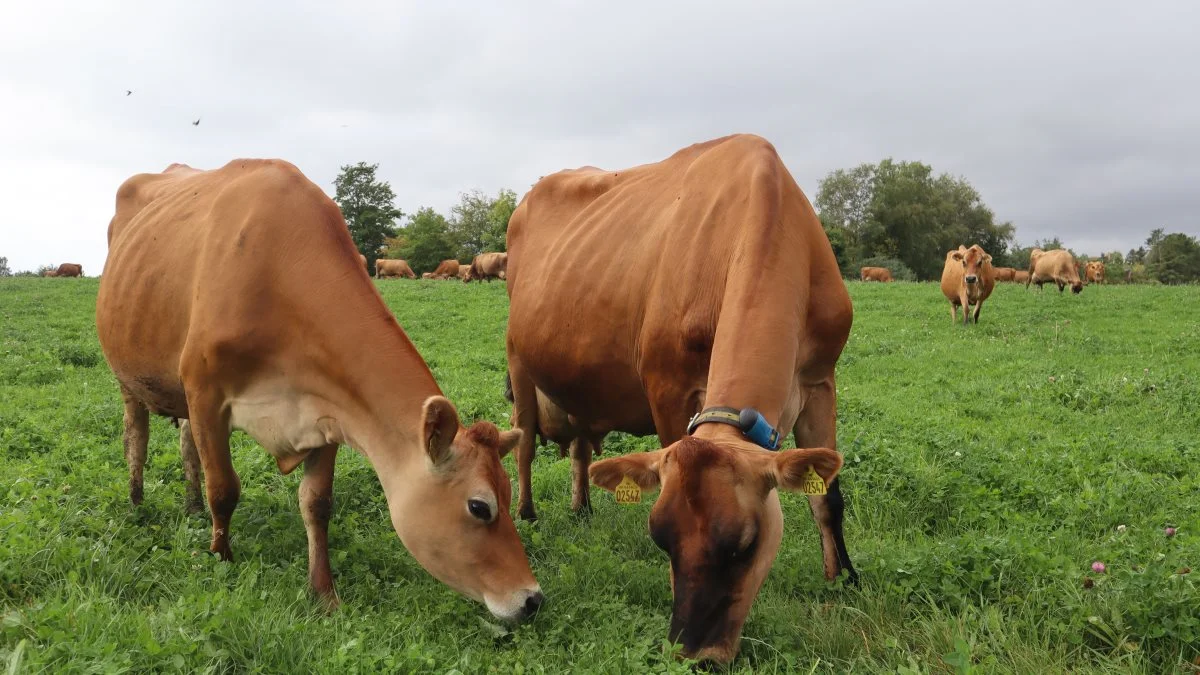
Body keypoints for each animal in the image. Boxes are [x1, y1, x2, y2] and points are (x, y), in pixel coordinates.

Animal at [96, 158, 542, 619]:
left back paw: (191, 505)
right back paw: (137, 502)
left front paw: (323, 591)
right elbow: (223, 488)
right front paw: (221, 558)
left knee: (187, 446)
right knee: (136, 438)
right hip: (128, 373)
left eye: (510, 494)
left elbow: (317, 504)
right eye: (479, 506)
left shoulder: (328, 410)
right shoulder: (205, 394)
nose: (532, 599)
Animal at [506, 132, 854, 662]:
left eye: (746, 545)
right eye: (661, 540)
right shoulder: (667, 386)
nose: (696, 655)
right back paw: (527, 513)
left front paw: (844, 583)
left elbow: (826, 498)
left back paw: (582, 508)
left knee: (582, 447)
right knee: (524, 443)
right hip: (518, 360)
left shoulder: (820, 380)